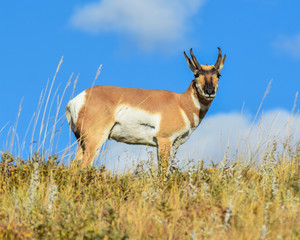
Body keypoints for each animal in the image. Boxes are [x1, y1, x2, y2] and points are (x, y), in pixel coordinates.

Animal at [65, 48, 225, 172]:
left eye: (218, 75)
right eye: (196, 74)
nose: (209, 91)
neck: (181, 102)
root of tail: (79, 98)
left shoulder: (172, 145)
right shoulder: (164, 140)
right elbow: (163, 172)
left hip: (82, 142)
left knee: (73, 166)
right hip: (95, 140)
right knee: (83, 166)